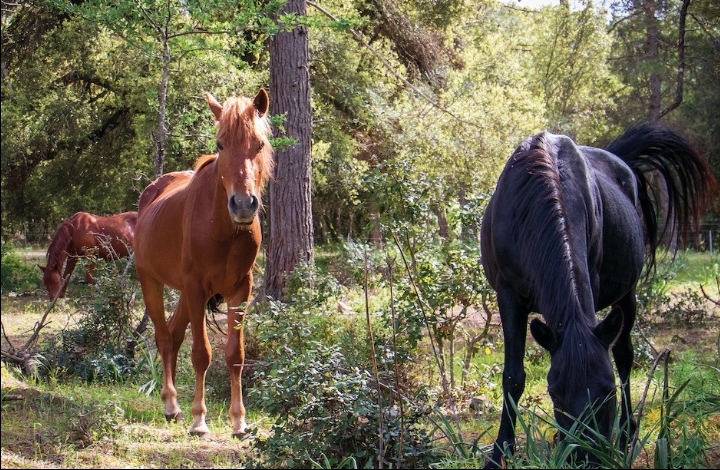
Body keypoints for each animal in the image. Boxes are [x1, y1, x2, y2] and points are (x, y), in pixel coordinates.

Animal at [133, 88, 273, 438]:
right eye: (220, 144)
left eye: (259, 144)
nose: (243, 205)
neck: (221, 228)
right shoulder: (196, 288)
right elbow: (201, 354)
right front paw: (199, 419)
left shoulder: (240, 290)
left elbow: (235, 355)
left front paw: (239, 421)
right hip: (151, 282)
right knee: (164, 338)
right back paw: (172, 405)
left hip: (185, 293)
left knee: (173, 335)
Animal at [480, 123, 717, 467]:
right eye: (555, 393)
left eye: (607, 391)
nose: (587, 458)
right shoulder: (507, 296)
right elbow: (513, 376)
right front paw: (500, 452)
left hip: (627, 294)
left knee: (624, 355)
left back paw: (627, 432)